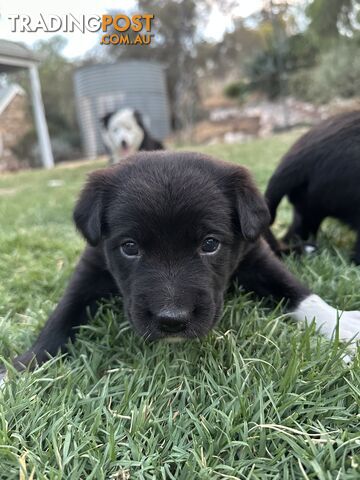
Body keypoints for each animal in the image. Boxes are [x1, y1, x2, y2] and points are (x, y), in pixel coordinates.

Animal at [3, 151, 360, 376]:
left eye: (210, 244)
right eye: (130, 248)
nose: (171, 320)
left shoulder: (256, 257)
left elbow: (297, 292)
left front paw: (341, 323)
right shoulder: (90, 268)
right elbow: (60, 318)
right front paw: (21, 369)